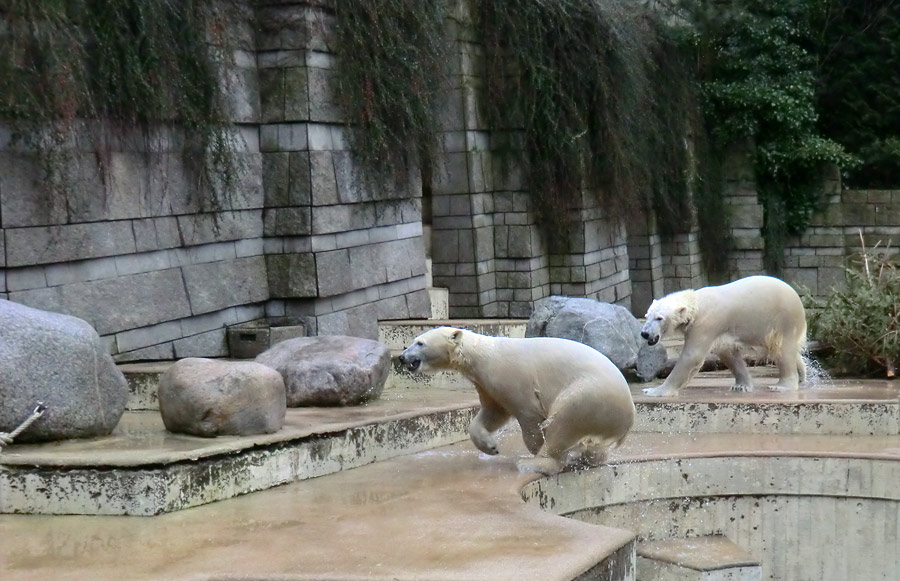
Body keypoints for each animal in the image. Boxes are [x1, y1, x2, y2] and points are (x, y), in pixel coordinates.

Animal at [400, 324, 632, 474]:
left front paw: (535, 447)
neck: (483, 355)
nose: (402, 357)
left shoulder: (510, 378)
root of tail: (628, 416)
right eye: (411, 342)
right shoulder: (486, 384)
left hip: (589, 395)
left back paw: (534, 463)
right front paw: (491, 446)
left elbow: (527, 416)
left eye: (419, 343)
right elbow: (494, 412)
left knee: (563, 422)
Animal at [640, 274, 808, 396]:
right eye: (647, 316)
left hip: (784, 319)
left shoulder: (705, 324)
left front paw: (654, 391)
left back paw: (783, 386)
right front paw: (741, 386)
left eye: (659, 318)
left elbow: (692, 356)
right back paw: (802, 373)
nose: (645, 333)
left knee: (783, 349)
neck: (696, 304)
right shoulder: (719, 330)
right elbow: (727, 352)